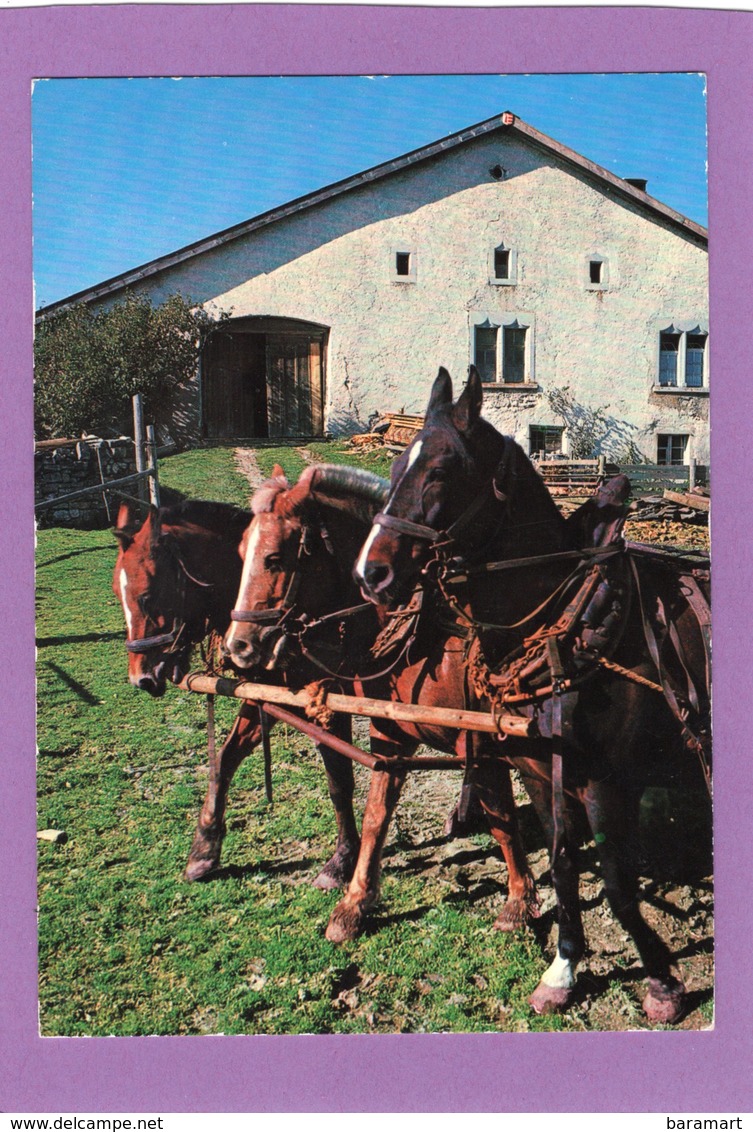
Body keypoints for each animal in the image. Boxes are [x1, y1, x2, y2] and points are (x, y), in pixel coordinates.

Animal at [112, 491, 364, 887]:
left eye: (148, 596)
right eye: (116, 593)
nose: (142, 678)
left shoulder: (329, 703)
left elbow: (339, 778)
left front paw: (342, 859)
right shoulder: (269, 694)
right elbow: (225, 759)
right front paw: (204, 847)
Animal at [223, 464, 541, 941]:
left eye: (275, 558)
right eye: (241, 551)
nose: (238, 646)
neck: (426, 632)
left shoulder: (483, 740)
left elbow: (502, 815)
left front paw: (519, 899)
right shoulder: (389, 733)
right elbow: (376, 812)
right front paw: (354, 903)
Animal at [353, 369, 711, 1027]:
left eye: (440, 471)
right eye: (393, 469)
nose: (372, 574)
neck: (565, 620)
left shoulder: (604, 782)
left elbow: (617, 885)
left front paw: (661, 982)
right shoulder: (539, 772)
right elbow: (563, 863)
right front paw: (563, 968)